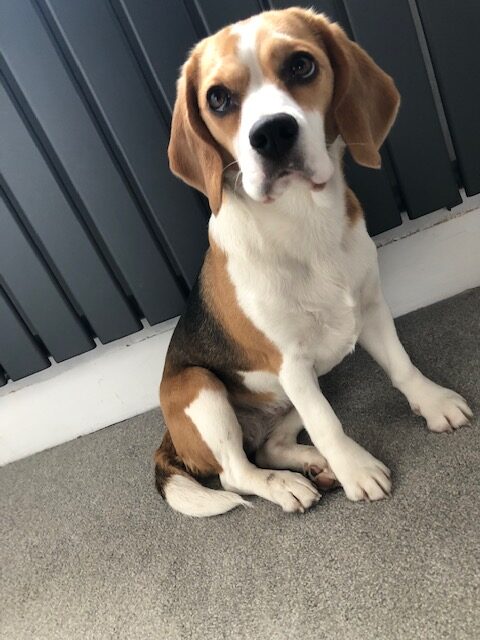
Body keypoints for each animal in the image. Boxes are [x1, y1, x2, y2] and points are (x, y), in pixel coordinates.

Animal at [155, 8, 472, 517]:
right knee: (235, 473)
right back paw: (288, 484)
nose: (272, 133)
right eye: (218, 98)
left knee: (268, 446)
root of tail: (170, 438)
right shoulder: (291, 363)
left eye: (301, 65)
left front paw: (432, 402)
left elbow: (401, 365)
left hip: (291, 397)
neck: (304, 220)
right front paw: (357, 471)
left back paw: (315, 465)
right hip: (201, 390)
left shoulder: (370, 308)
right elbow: (327, 423)